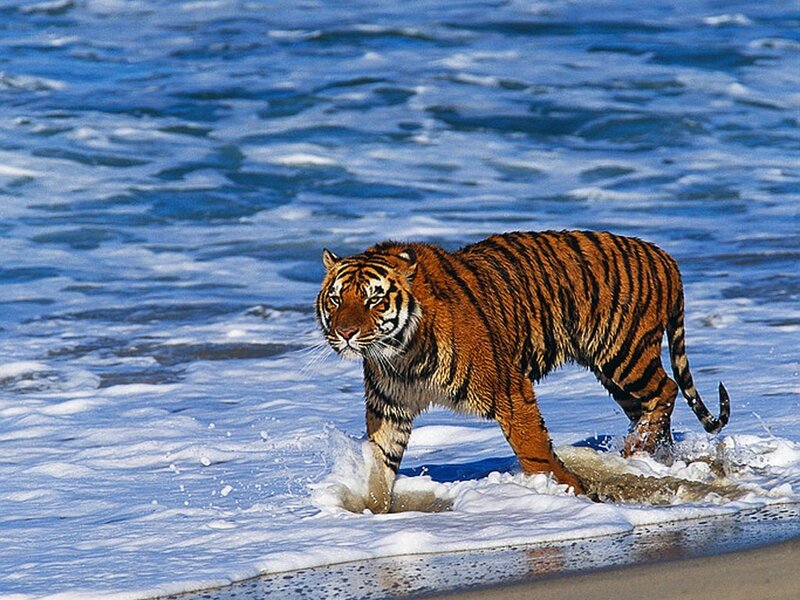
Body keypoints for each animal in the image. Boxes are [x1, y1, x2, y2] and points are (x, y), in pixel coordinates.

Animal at [315, 230, 730, 512]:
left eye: (374, 299)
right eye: (335, 299)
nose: (345, 333)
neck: (401, 354)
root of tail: (664, 255)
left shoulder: (510, 390)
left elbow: (534, 449)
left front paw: (563, 488)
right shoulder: (389, 409)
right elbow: (380, 468)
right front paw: (374, 510)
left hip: (624, 354)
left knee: (667, 389)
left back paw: (634, 451)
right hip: (614, 371)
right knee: (652, 405)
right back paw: (647, 455)